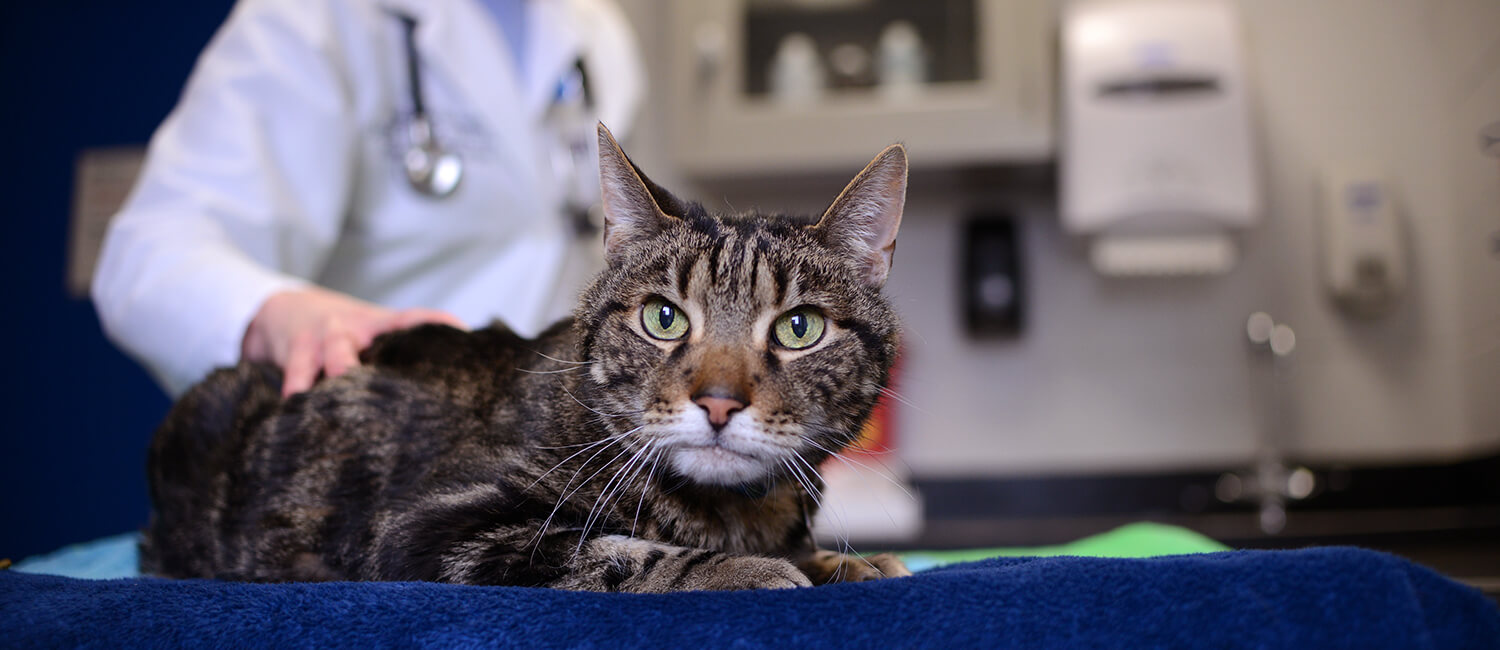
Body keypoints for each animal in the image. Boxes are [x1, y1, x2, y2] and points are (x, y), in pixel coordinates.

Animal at [143, 123, 912, 591]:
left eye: (798, 329)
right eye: (663, 318)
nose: (718, 402)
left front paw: (848, 561)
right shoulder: (429, 529)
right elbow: (615, 552)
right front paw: (745, 567)